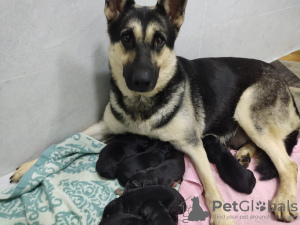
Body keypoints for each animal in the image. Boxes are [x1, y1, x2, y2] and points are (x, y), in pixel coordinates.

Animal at [10, 0, 298, 225]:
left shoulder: (193, 145)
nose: (141, 81)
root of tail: (285, 83)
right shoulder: (106, 125)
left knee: (288, 163)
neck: (142, 104)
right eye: (126, 38)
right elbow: (66, 140)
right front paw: (31, 167)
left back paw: (284, 198)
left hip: (247, 111)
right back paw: (245, 154)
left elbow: (210, 185)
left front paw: (222, 218)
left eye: (159, 41)